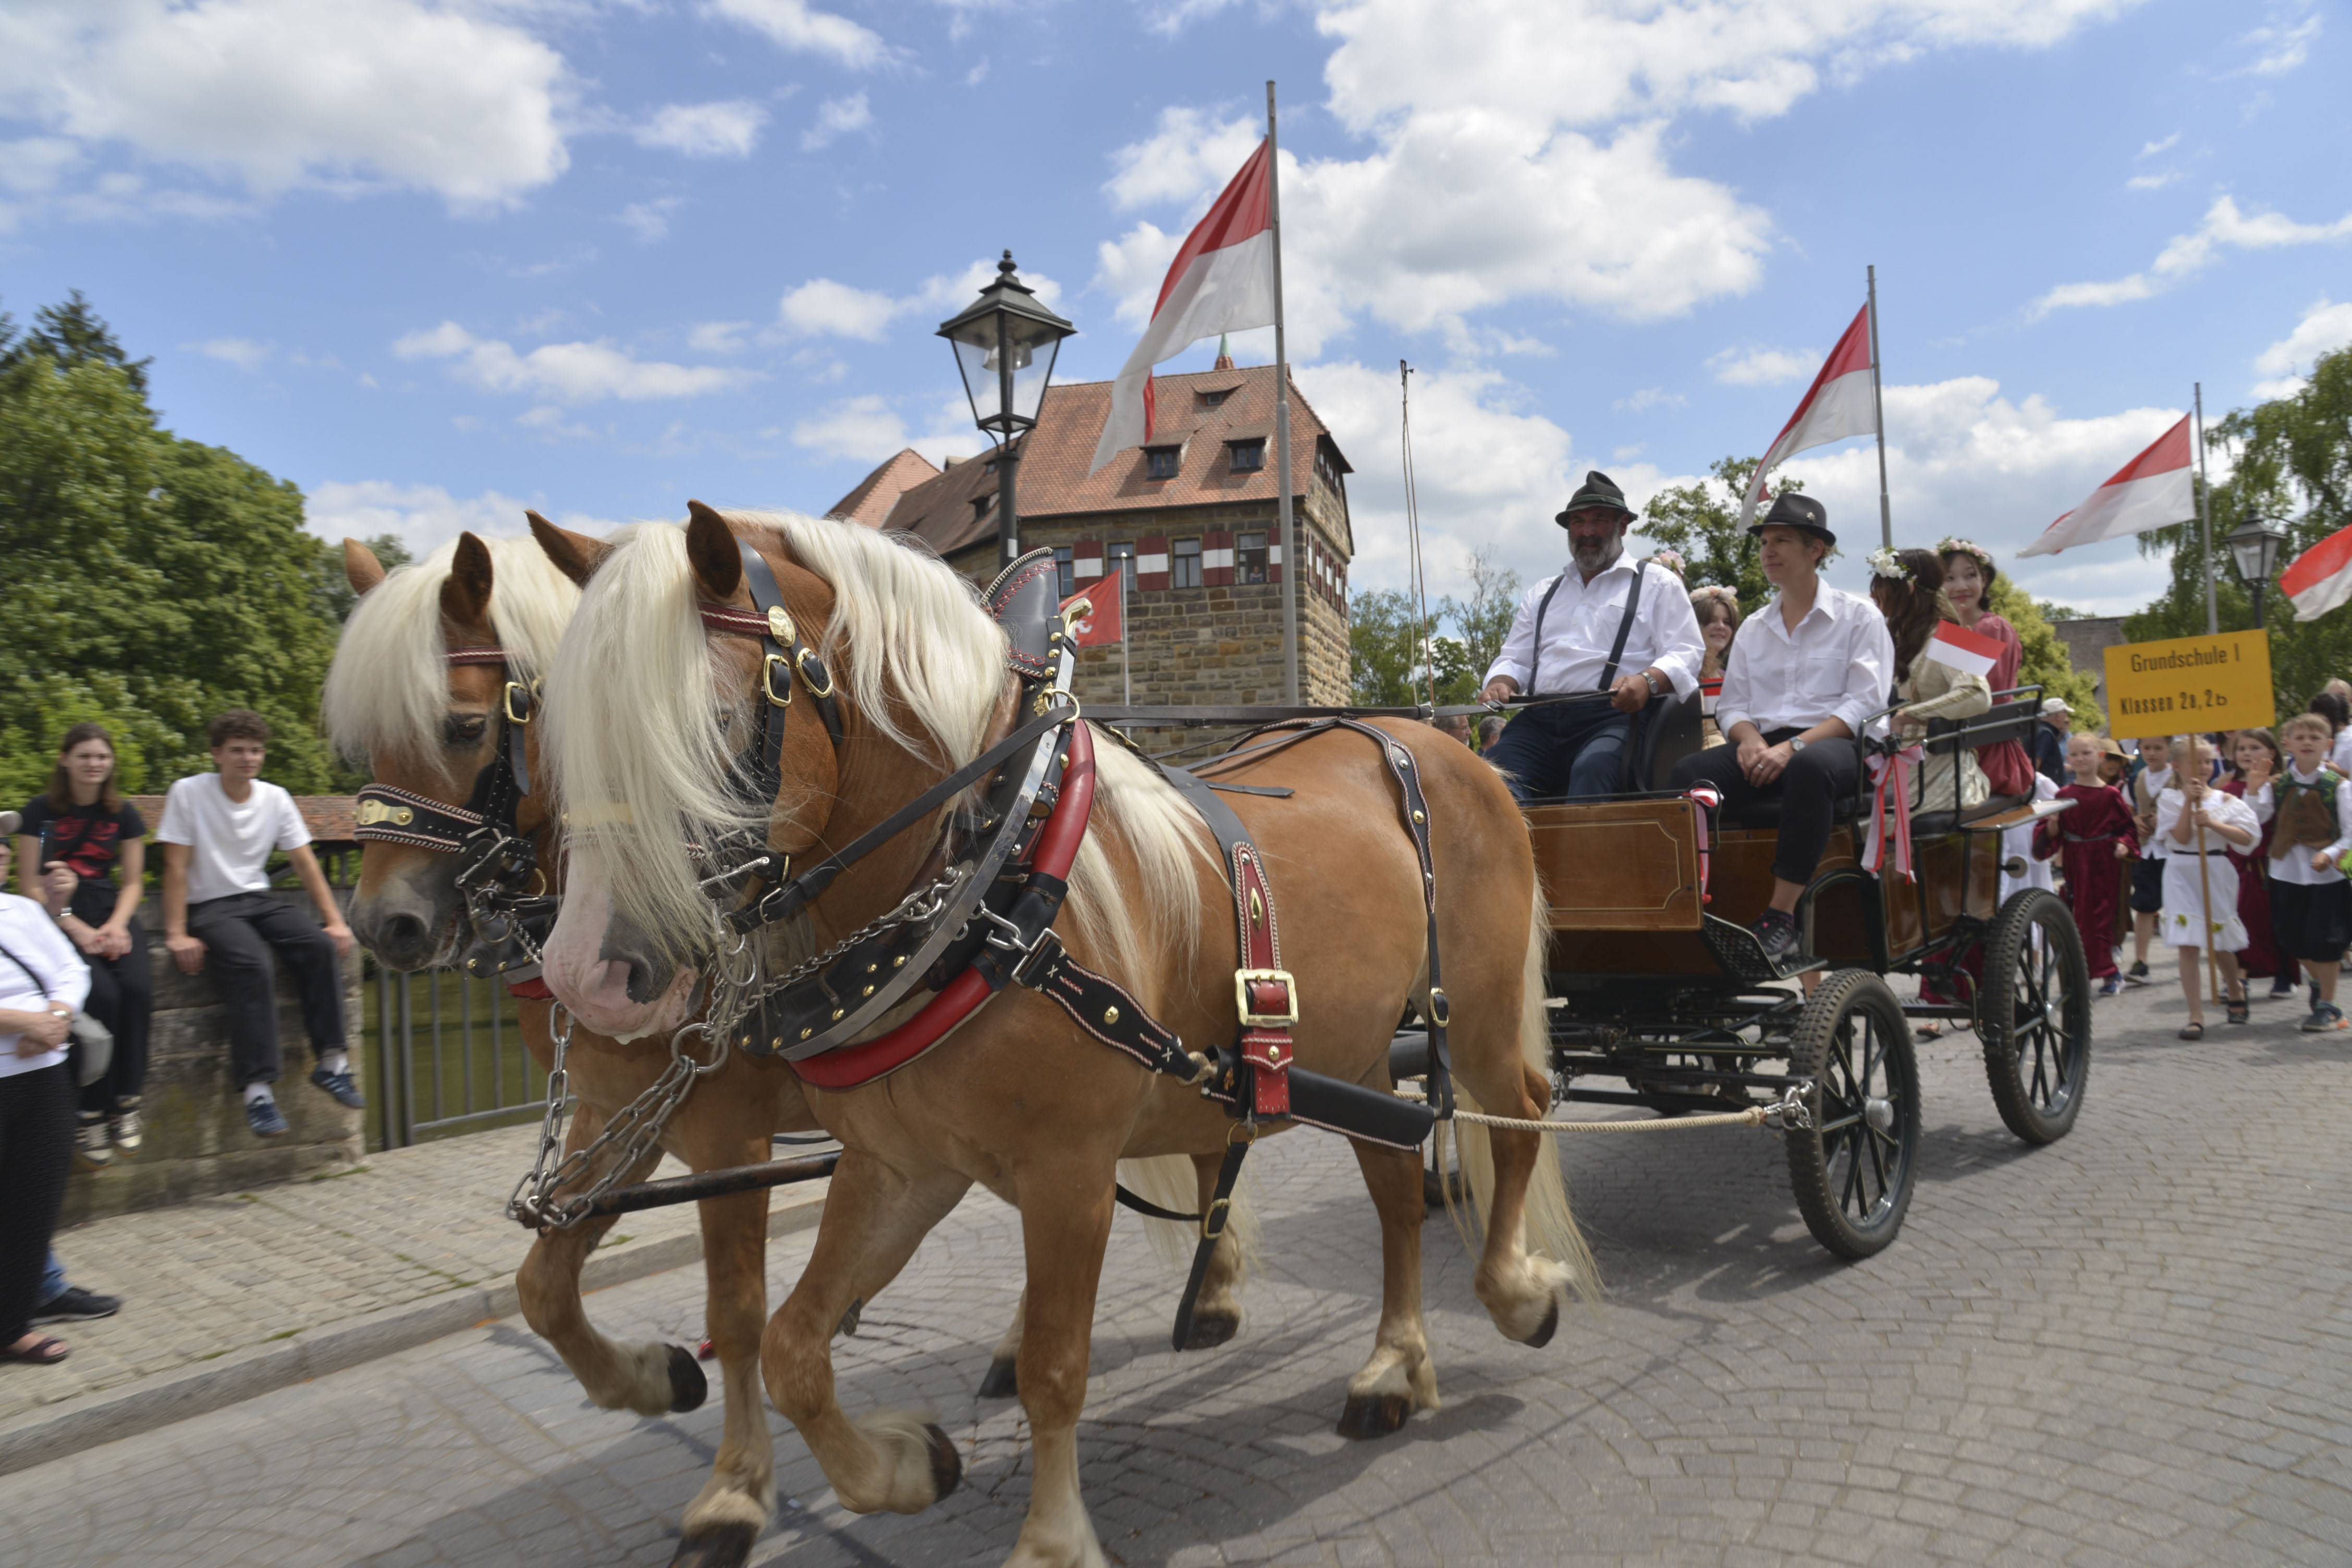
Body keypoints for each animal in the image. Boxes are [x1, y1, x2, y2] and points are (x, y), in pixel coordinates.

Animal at [534, 505, 1599, 1568]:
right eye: (562, 743)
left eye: (710, 724)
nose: (584, 976)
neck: (990, 872)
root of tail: (1429, 736)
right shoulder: (903, 1165)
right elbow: (792, 1344)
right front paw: (905, 1465)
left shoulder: (1068, 1173)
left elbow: (1054, 1367)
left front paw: (1050, 1539)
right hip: (1358, 1051)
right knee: (1395, 1188)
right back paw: (1393, 1364)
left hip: (1478, 1013)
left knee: (1518, 1116)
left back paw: (1514, 1290)